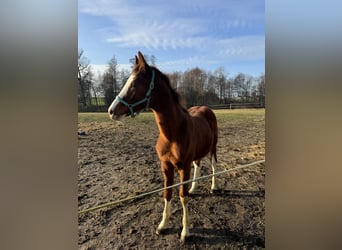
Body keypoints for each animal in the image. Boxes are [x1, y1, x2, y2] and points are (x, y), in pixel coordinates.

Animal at [108, 51, 218, 242]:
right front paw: (162, 226)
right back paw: (193, 188)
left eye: (134, 84)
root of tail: (207, 109)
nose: (111, 111)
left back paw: (213, 187)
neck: (173, 134)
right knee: (198, 165)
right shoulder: (166, 166)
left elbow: (182, 197)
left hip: (212, 148)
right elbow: (167, 193)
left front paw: (185, 232)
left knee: (213, 165)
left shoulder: (183, 167)